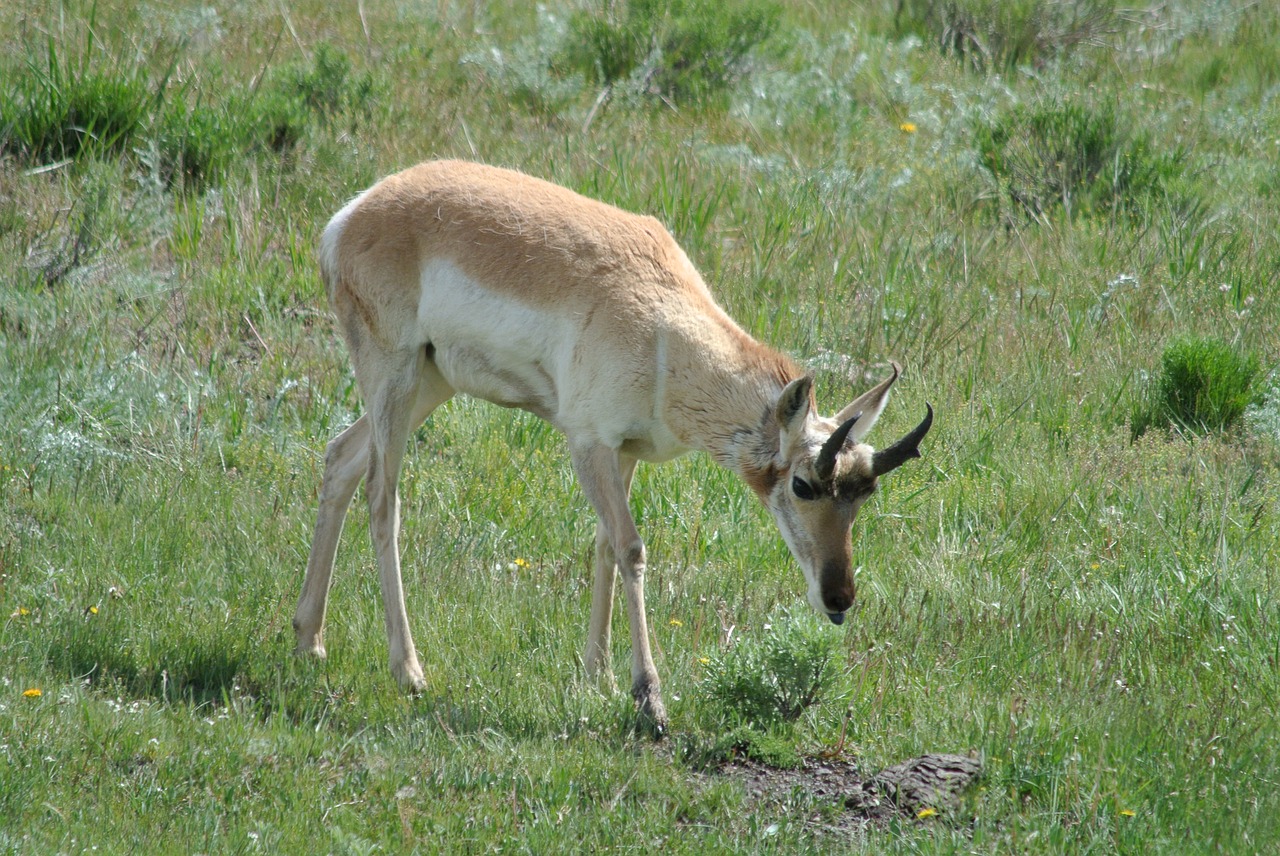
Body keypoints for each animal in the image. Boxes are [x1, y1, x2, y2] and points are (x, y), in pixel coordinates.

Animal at [293, 158, 931, 726]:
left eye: (864, 492)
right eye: (803, 484)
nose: (840, 599)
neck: (665, 330)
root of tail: (354, 213)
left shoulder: (624, 453)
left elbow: (603, 544)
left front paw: (596, 674)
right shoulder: (589, 445)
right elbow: (630, 547)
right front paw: (649, 697)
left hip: (430, 382)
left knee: (340, 458)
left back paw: (309, 640)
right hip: (394, 378)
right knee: (382, 496)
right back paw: (409, 672)